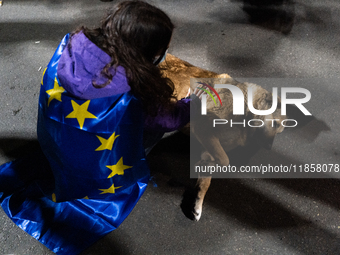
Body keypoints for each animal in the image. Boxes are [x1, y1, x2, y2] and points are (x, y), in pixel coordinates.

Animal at [159, 54, 284, 221]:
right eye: (275, 124)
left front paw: (198, 201)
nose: (269, 147)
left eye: (280, 131)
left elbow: (207, 178)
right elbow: (225, 161)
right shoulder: (203, 130)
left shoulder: (209, 146)